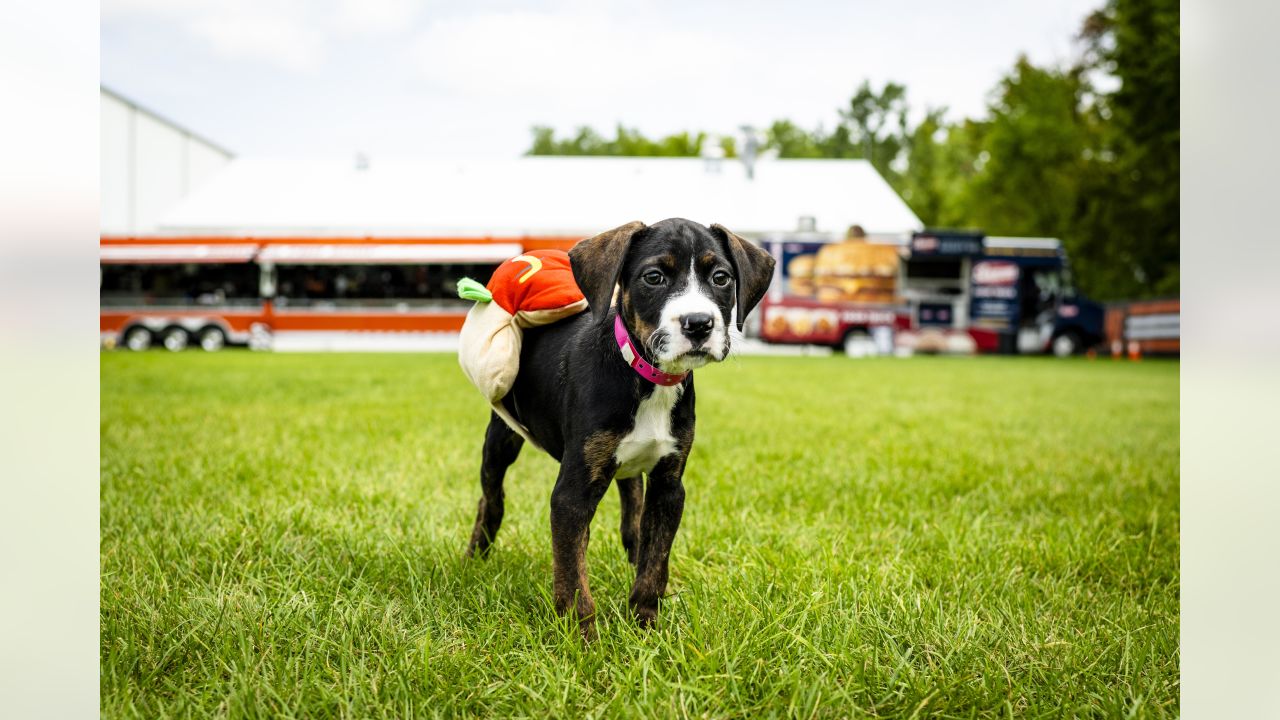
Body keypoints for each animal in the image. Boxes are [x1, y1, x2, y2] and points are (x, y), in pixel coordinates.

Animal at [465, 217, 773, 632]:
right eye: (654, 277)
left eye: (721, 278)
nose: (698, 324)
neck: (647, 378)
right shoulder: (572, 492)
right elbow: (572, 574)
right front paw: (581, 637)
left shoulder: (669, 485)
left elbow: (655, 563)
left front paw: (646, 626)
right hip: (502, 436)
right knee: (492, 496)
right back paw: (476, 554)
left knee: (632, 504)